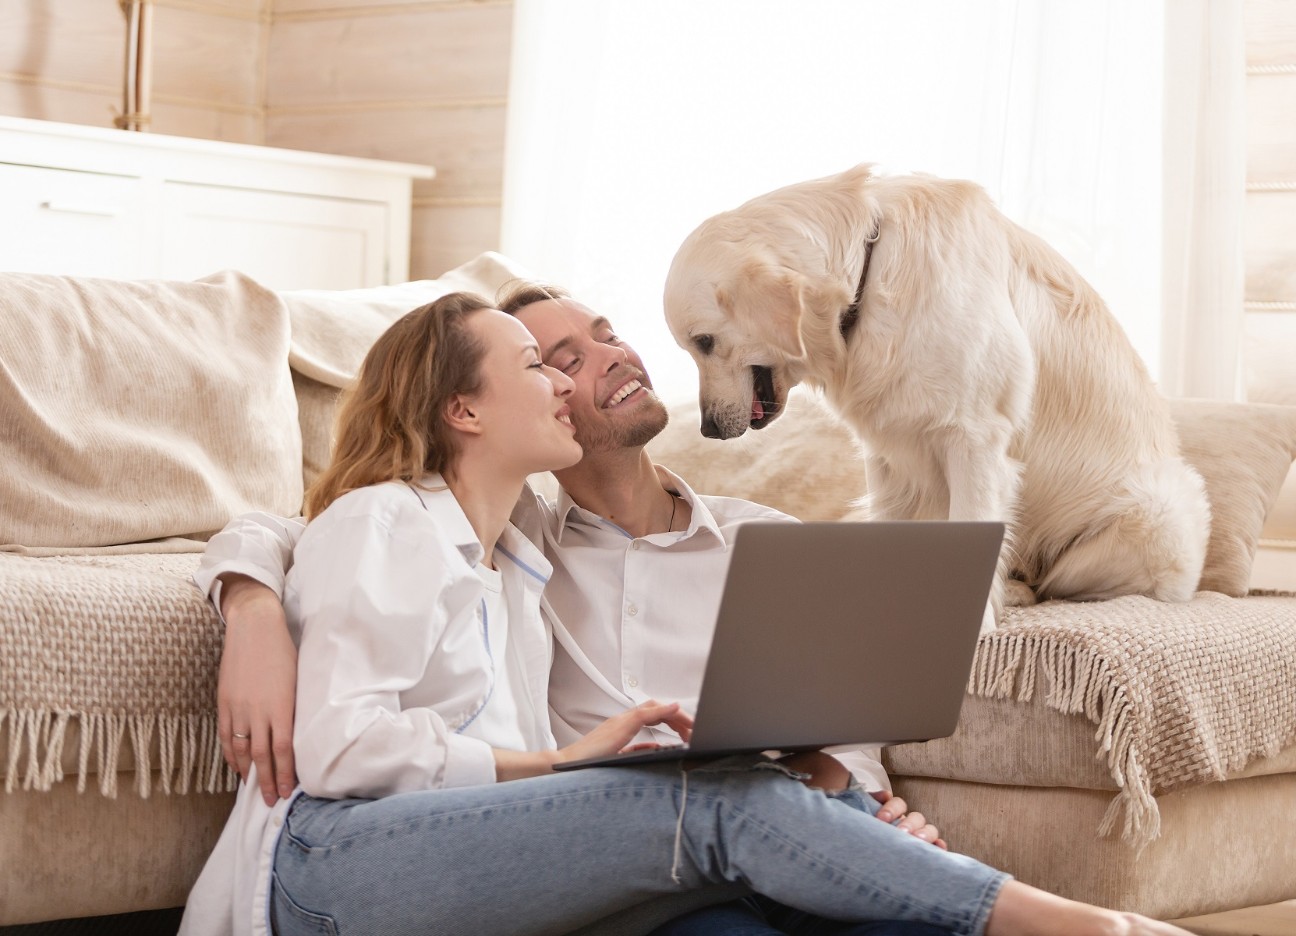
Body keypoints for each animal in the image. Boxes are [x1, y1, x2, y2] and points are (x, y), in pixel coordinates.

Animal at [663, 162, 1207, 627]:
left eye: (704, 342)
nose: (707, 428)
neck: (867, 271)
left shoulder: (975, 440)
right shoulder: (886, 454)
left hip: (1155, 514)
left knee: (1059, 582)